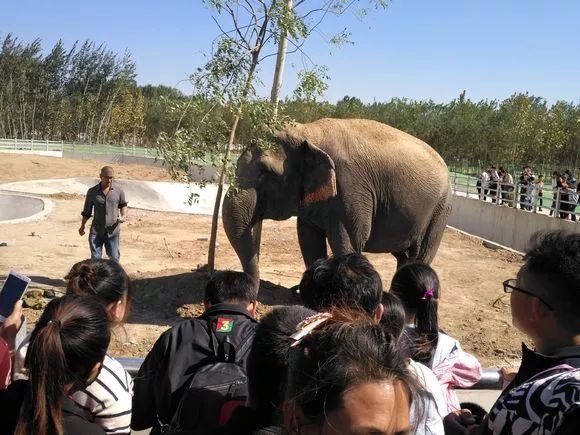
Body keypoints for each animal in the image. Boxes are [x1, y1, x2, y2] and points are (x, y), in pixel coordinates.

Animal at [222, 117, 454, 284]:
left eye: (266, 172)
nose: (253, 302)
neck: (308, 132)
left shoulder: (351, 189)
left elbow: (348, 243)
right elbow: (308, 238)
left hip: (439, 212)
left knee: (420, 255)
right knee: (404, 257)